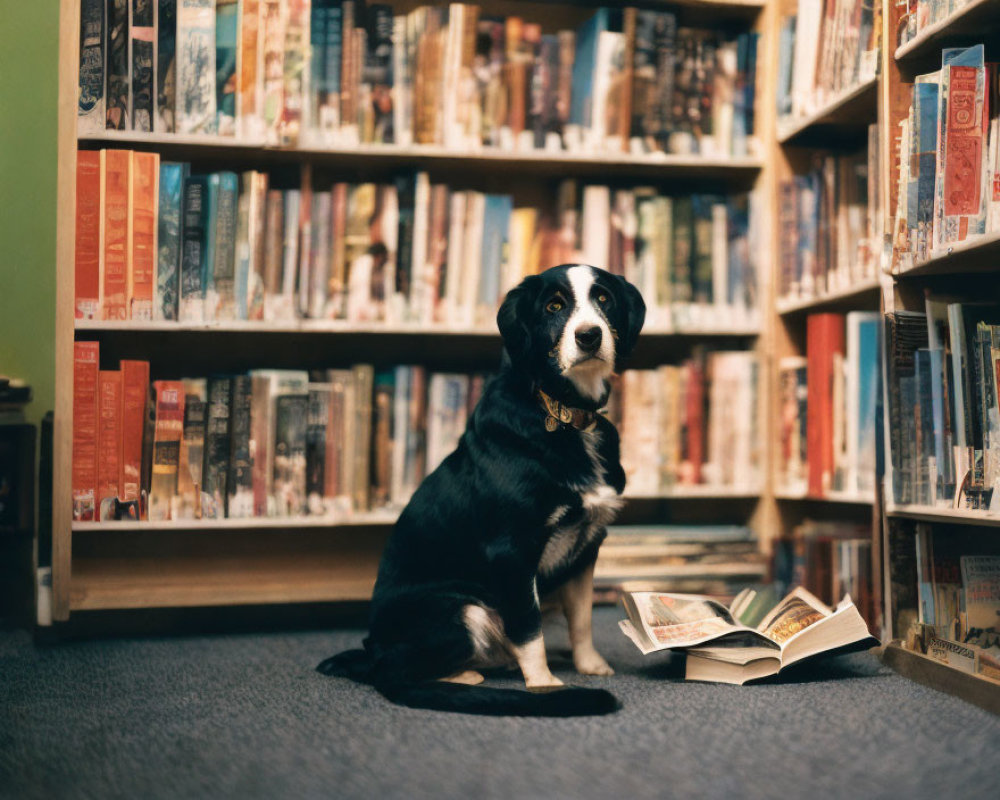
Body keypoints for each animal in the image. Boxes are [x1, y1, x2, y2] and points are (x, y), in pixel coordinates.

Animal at [320, 266, 648, 716]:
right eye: (554, 306)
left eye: (603, 299)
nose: (589, 336)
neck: (562, 414)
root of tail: (376, 651)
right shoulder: (512, 550)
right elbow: (528, 626)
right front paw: (544, 685)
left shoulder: (587, 546)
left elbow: (581, 617)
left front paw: (590, 664)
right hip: (461, 609)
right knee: (404, 669)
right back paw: (468, 675)